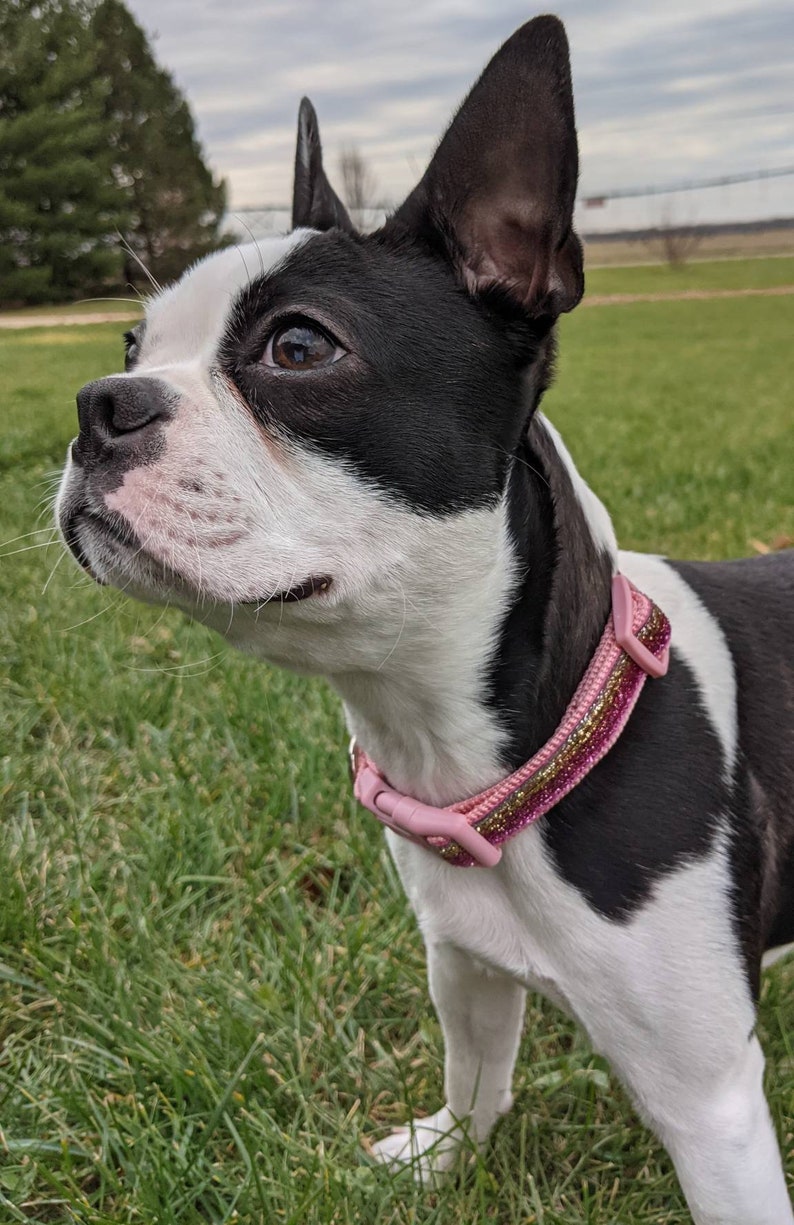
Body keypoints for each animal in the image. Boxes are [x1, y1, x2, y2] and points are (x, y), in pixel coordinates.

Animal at [57, 19, 794, 1225]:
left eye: (298, 348)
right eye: (130, 345)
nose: (97, 404)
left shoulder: (709, 1103)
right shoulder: (464, 958)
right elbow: (475, 1068)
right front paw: (444, 1155)